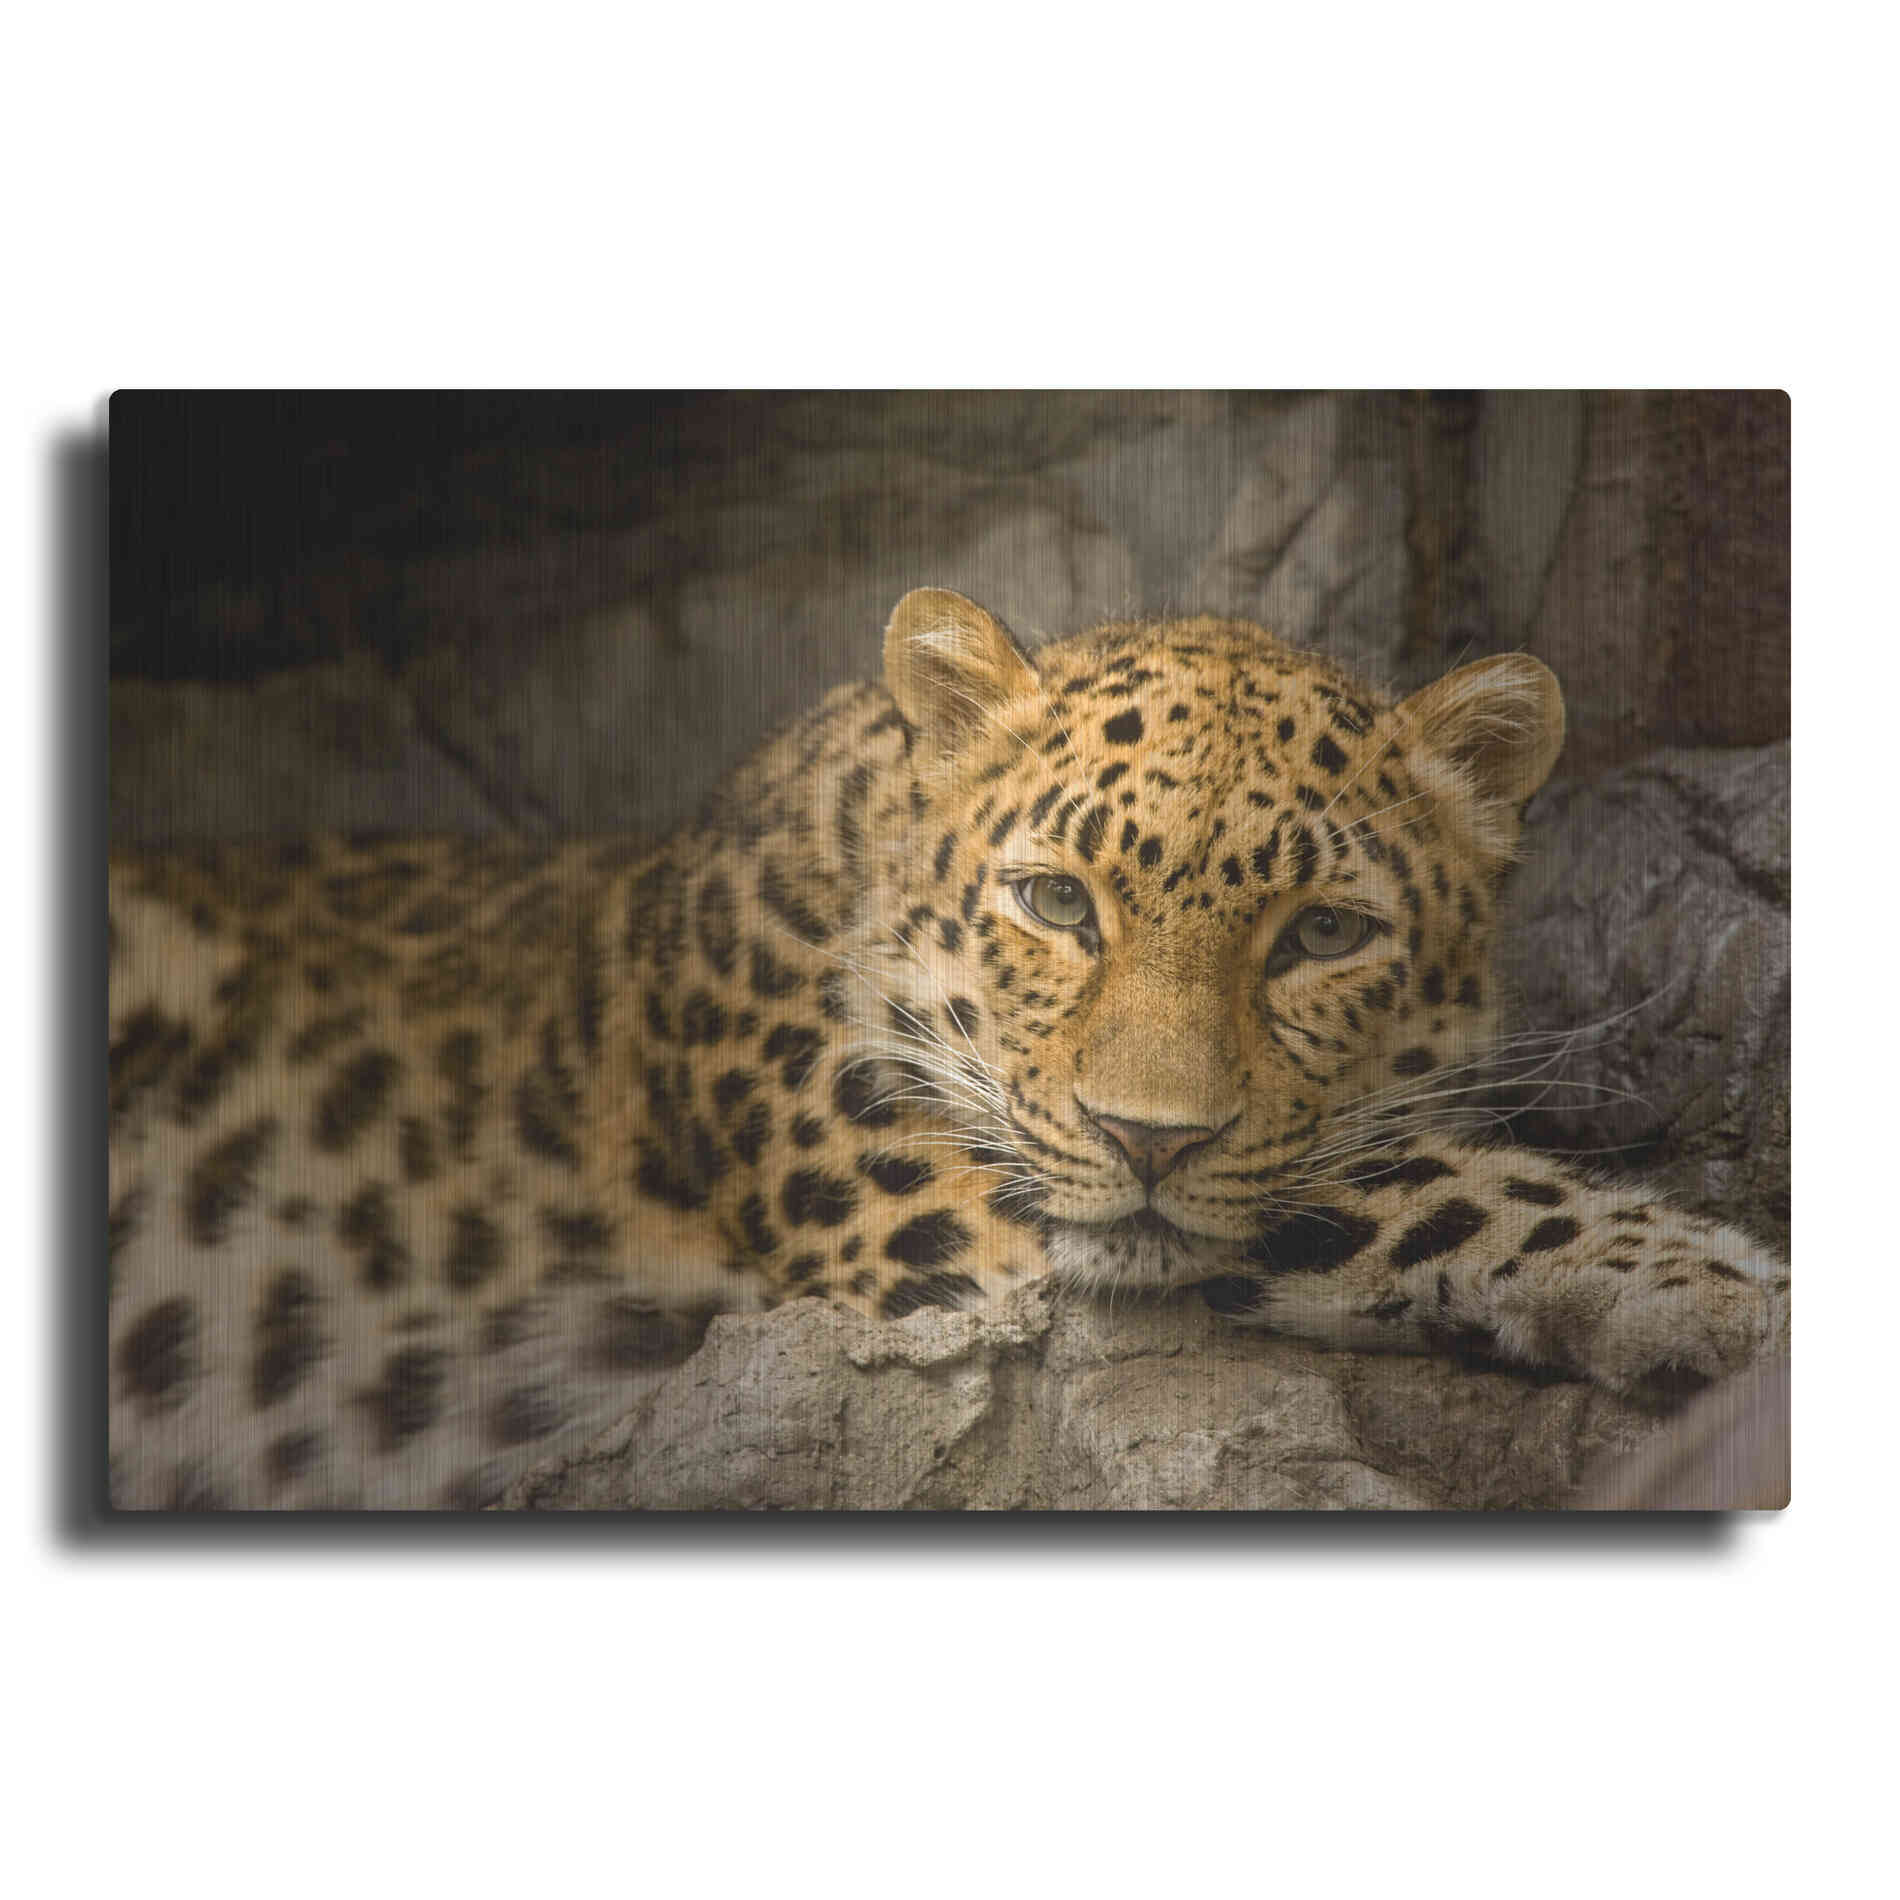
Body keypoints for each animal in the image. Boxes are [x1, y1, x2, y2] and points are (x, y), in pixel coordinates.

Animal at [107, 587, 1790, 1508]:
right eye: (1056, 902)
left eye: (1322, 934)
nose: (1150, 1136)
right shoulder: (953, 1223)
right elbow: (1422, 1186)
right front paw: (1723, 1292)